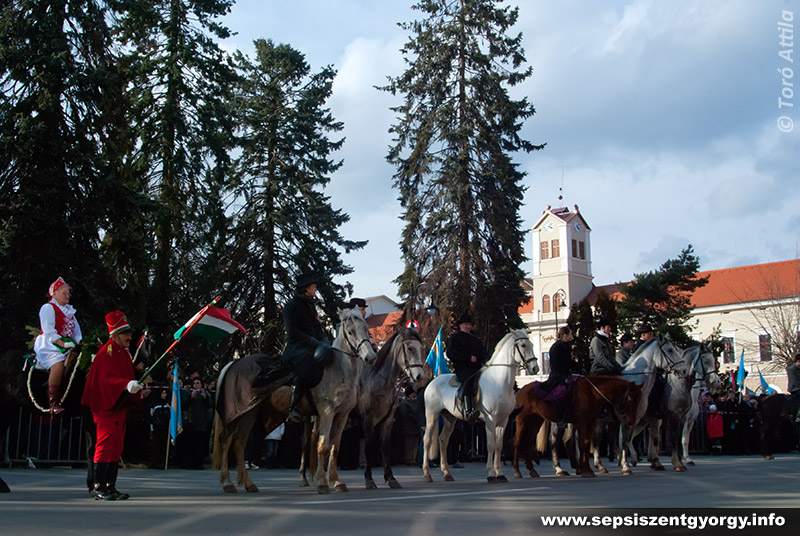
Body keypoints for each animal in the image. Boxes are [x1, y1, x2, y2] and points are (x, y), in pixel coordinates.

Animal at [355, 326, 425, 489]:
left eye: (421, 348)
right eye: (410, 348)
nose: (419, 376)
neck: (379, 381)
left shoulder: (387, 421)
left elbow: (385, 447)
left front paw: (391, 478)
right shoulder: (368, 421)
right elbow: (368, 447)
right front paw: (369, 480)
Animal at [421, 329, 538, 483]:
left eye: (532, 344)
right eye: (523, 345)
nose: (535, 368)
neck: (499, 382)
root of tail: (433, 381)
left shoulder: (503, 420)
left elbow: (499, 446)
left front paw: (500, 473)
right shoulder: (490, 419)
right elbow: (490, 445)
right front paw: (491, 474)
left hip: (450, 418)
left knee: (443, 440)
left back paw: (447, 473)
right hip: (432, 416)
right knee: (427, 441)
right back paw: (427, 474)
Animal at [512, 375, 641, 478]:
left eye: (638, 400)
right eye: (630, 399)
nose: (631, 421)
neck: (593, 393)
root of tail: (521, 390)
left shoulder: (591, 422)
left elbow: (586, 444)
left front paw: (587, 469)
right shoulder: (582, 422)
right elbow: (582, 444)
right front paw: (586, 470)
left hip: (535, 421)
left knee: (529, 443)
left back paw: (533, 470)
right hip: (522, 421)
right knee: (518, 443)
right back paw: (518, 471)